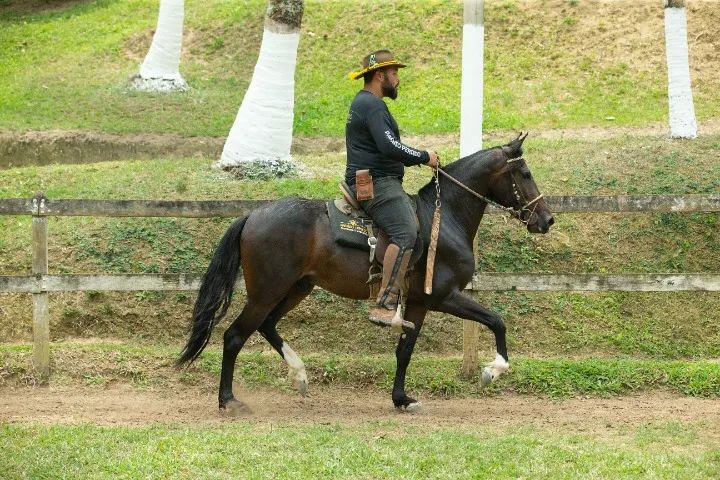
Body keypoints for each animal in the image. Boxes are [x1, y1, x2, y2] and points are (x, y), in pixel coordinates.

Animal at [177, 133, 554, 412]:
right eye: (525, 174)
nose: (547, 219)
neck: (442, 218)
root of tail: (252, 216)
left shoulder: (418, 303)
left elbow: (404, 351)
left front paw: (401, 399)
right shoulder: (445, 296)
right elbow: (497, 321)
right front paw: (494, 369)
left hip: (296, 288)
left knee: (267, 326)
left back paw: (299, 375)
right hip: (267, 291)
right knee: (234, 336)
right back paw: (228, 400)